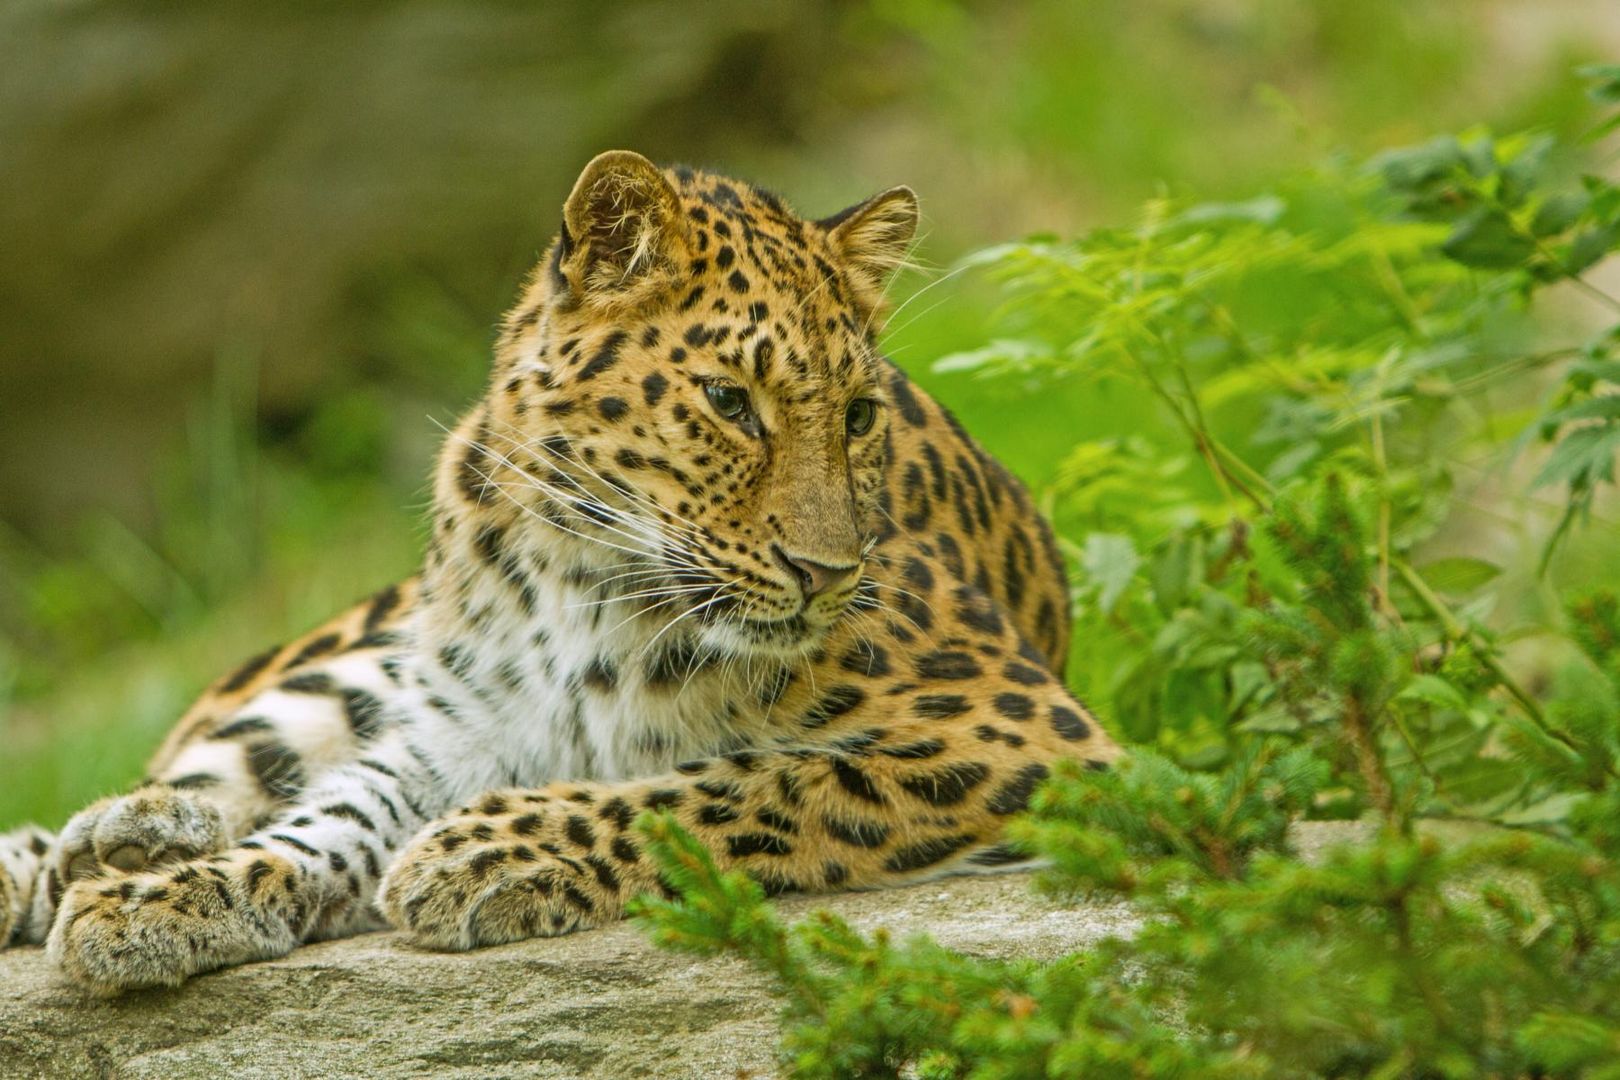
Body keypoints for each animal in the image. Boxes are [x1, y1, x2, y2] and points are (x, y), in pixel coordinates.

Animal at [0, 152, 1114, 997]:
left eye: (859, 415)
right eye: (730, 402)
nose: (827, 573)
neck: (588, 580)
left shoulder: (1028, 735)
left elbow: (737, 783)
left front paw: (486, 853)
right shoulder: (456, 730)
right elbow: (332, 820)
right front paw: (170, 898)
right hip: (351, 662)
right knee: (220, 757)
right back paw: (111, 841)